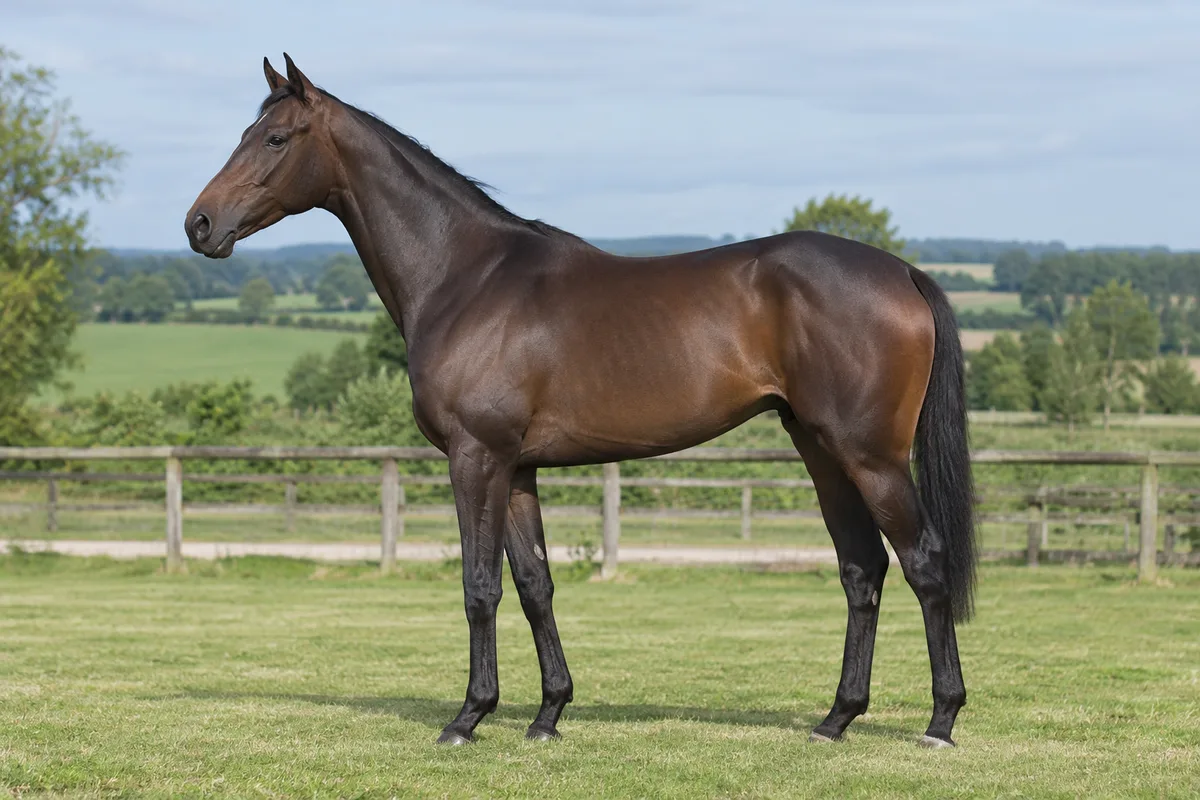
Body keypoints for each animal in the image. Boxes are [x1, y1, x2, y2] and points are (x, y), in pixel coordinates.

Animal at [185, 54, 976, 749]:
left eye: (275, 138)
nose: (199, 225)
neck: (467, 277)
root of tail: (902, 272)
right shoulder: (517, 469)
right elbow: (535, 584)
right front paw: (547, 715)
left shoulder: (476, 458)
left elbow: (479, 586)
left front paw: (468, 718)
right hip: (820, 449)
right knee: (861, 569)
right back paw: (836, 719)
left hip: (871, 457)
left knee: (924, 563)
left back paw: (940, 722)